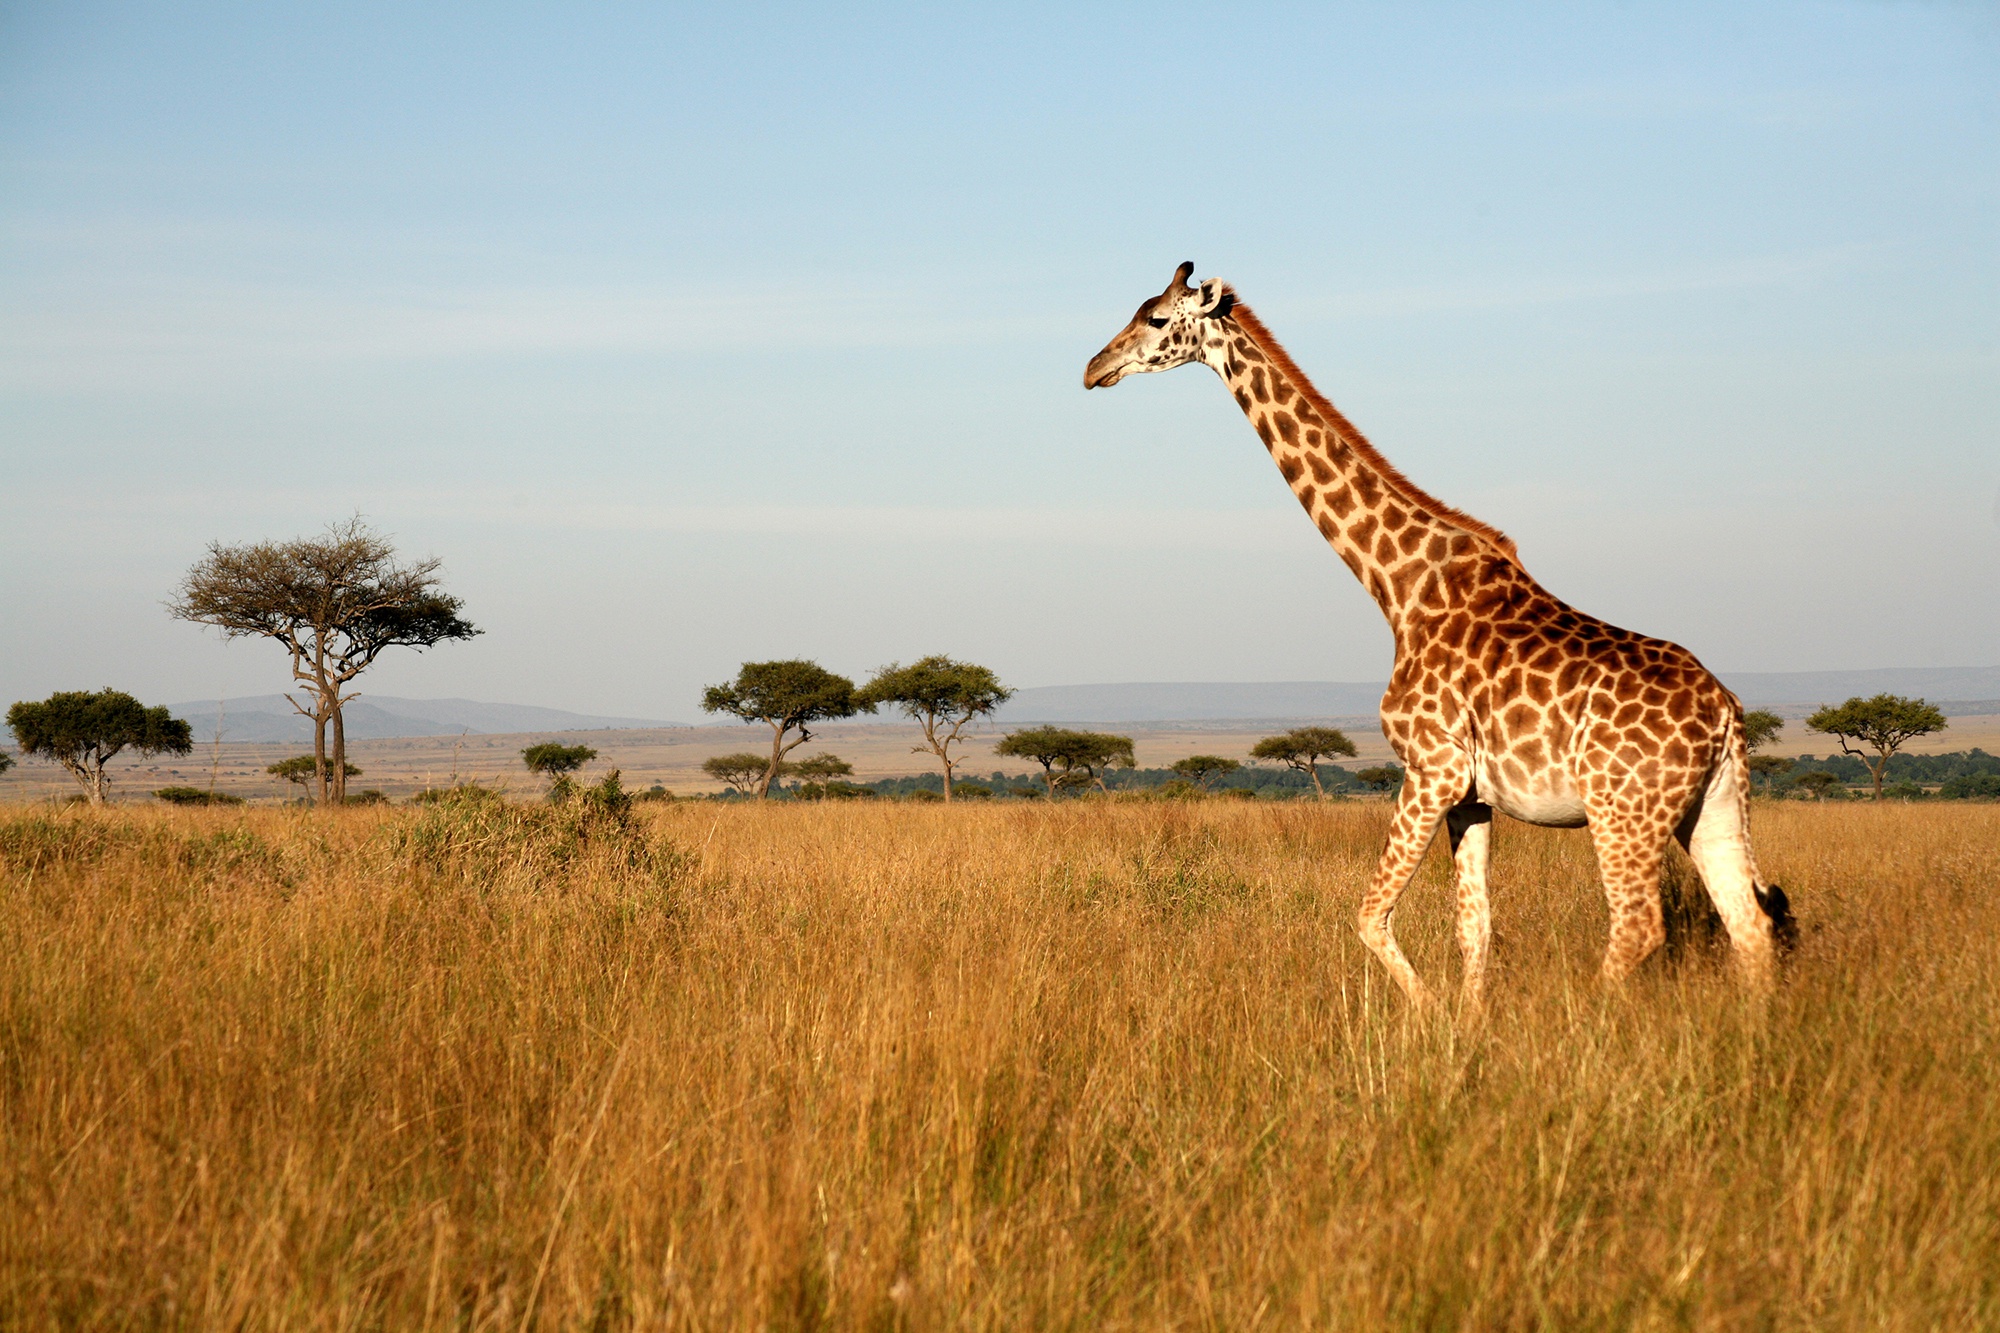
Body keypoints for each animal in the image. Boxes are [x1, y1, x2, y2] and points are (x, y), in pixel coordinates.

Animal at [1096, 262, 1800, 1008]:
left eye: (1157, 319)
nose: (1094, 367)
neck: (1399, 586)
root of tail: (1726, 714)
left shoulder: (1431, 767)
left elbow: (1371, 914)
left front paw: (1431, 1015)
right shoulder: (1472, 796)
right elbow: (1474, 926)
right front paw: (1468, 1021)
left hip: (1623, 811)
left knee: (1639, 926)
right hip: (1711, 806)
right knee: (1749, 923)